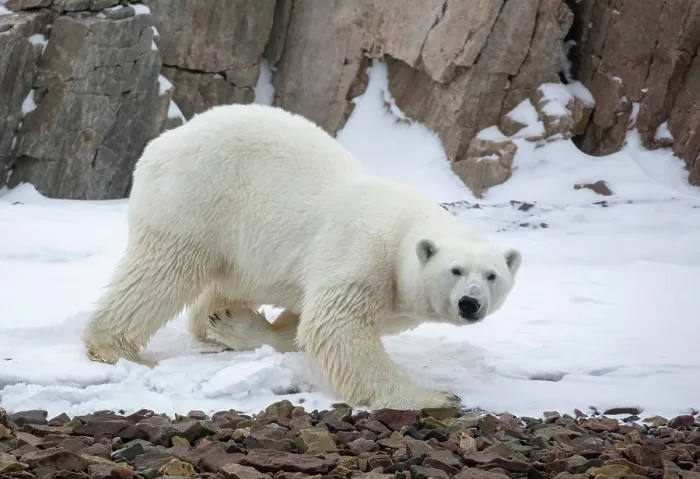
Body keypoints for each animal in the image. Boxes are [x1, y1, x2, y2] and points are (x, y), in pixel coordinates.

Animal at [81, 103, 522, 410]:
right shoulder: (362, 255)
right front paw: (435, 397)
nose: (470, 304)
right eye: (455, 270)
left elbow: (305, 322)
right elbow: (335, 327)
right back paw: (114, 346)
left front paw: (239, 325)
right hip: (197, 200)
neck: (404, 234)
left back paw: (217, 320)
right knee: (162, 272)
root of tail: (162, 142)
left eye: (492, 276)